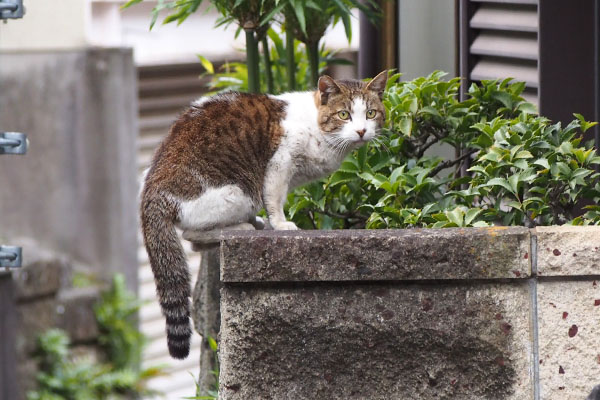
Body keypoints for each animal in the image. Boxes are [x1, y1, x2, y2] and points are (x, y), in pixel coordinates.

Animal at [139, 70, 386, 358]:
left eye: (370, 113)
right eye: (344, 114)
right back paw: (242, 227)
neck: (320, 132)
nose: (361, 131)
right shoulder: (280, 165)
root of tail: (152, 191)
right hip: (239, 194)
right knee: (192, 234)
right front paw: (280, 224)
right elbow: (275, 200)